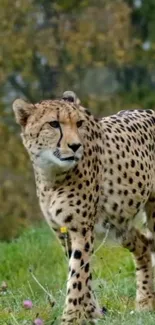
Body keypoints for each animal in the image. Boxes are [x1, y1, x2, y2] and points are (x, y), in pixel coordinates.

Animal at [12, 92, 155, 324]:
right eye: (54, 124)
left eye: (79, 123)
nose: (75, 146)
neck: (52, 175)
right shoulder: (62, 231)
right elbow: (82, 274)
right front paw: (91, 312)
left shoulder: (81, 228)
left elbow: (78, 274)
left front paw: (70, 317)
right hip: (117, 221)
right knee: (143, 244)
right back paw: (145, 303)